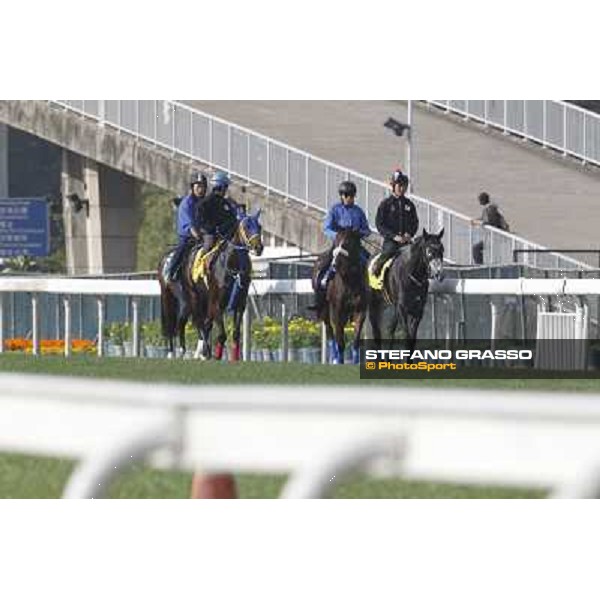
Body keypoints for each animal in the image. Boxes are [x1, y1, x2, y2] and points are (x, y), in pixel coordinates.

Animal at [185, 209, 264, 360]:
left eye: (260, 226)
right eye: (246, 226)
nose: (258, 248)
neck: (234, 267)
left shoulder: (240, 304)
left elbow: (236, 334)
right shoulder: (218, 304)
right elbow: (222, 335)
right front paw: (216, 356)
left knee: (206, 324)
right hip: (196, 298)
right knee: (201, 324)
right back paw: (202, 352)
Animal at [312, 229, 368, 360]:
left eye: (348, 243)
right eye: (336, 242)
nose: (335, 264)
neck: (350, 281)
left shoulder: (360, 310)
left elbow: (356, 340)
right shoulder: (337, 310)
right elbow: (340, 341)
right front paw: (340, 359)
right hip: (325, 310)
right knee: (330, 333)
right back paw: (335, 357)